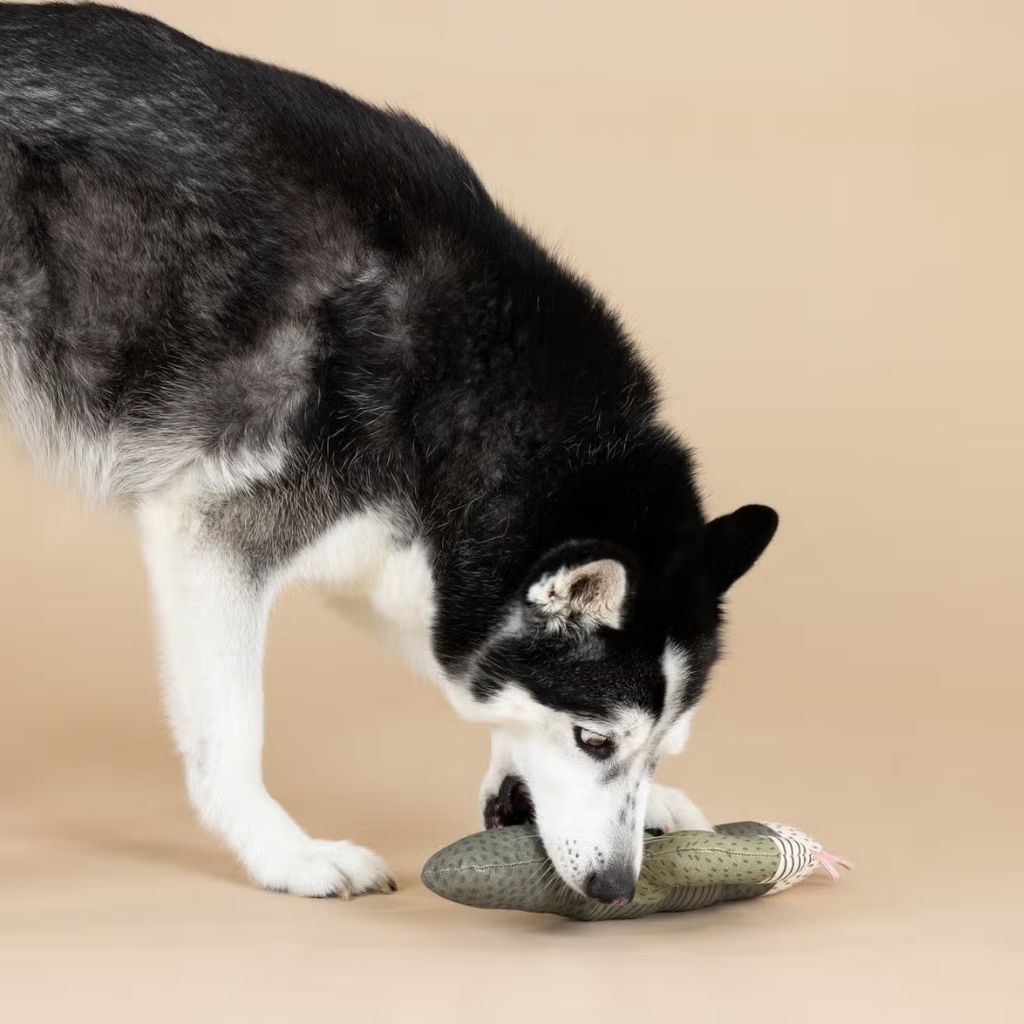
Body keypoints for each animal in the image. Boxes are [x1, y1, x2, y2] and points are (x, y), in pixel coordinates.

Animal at [0, 6, 774, 905]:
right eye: (593, 740)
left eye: (657, 749)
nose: (617, 888)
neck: (468, 387)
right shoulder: (212, 537)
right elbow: (231, 732)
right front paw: (286, 854)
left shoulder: (399, 561)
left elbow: (462, 664)